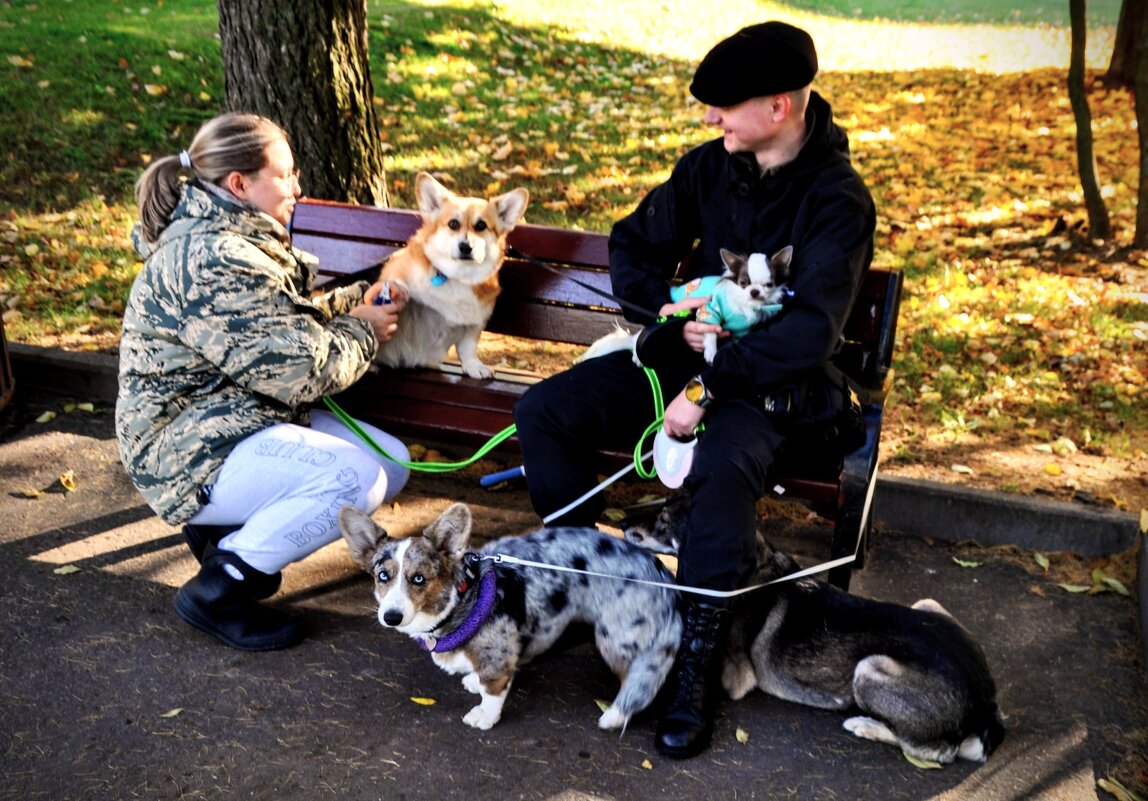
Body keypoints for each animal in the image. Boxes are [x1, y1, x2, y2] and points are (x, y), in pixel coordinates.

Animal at [337, 504, 679, 729]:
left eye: (418, 579)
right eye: (383, 576)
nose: (391, 617)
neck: (464, 594)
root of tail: (662, 576)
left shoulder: (497, 657)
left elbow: (492, 691)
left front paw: (484, 717)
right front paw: (472, 680)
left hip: (616, 639)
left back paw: (618, 714)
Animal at [378, 172, 530, 376]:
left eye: (481, 225)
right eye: (453, 224)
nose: (465, 247)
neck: (458, 276)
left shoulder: (475, 323)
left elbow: (468, 348)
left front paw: (474, 367)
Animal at [619, 493, 1005, 761]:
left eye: (664, 520)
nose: (621, 523)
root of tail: (987, 707)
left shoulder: (735, 677)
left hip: (869, 668)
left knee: (932, 751)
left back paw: (864, 725)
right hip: (926, 604)